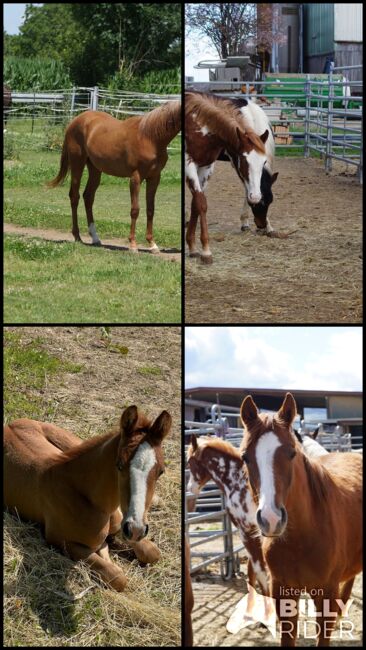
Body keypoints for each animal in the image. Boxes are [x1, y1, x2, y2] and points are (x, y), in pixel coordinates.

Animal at [3, 402, 172, 588]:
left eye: (161, 471)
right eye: (119, 465)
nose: (136, 529)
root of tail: (9, 425)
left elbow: (152, 552)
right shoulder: (59, 541)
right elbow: (117, 577)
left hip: (70, 441)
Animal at [48, 101, 180, 251]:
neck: (150, 137)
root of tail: (74, 121)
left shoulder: (154, 178)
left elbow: (150, 209)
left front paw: (152, 244)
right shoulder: (136, 178)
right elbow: (135, 209)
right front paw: (133, 244)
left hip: (95, 169)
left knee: (88, 197)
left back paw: (95, 238)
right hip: (77, 164)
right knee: (74, 196)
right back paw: (77, 237)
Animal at [184, 92, 278, 264]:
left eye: (263, 162)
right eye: (245, 160)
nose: (261, 225)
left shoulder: (206, 166)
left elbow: (196, 202)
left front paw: (193, 247)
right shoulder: (193, 164)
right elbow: (201, 203)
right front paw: (206, 251)